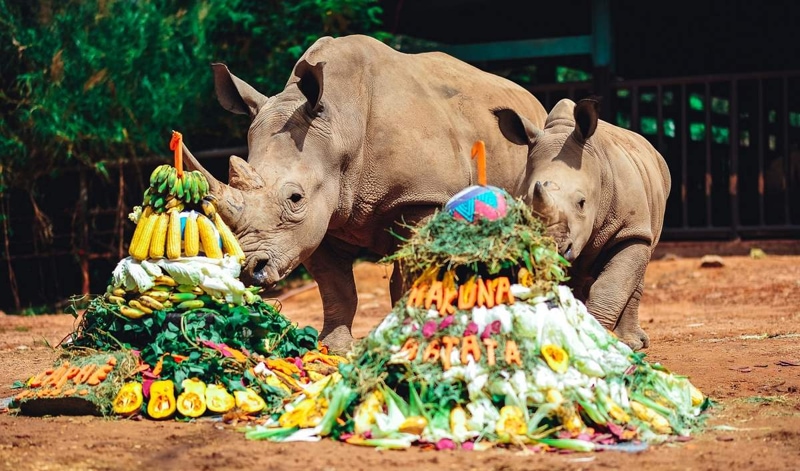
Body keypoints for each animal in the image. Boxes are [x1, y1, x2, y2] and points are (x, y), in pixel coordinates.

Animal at [182, 34, 548, 352]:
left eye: (295, 198)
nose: (248, 268)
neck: (340, 125)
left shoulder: (421, 197)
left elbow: (407, 274)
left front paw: (405, 334)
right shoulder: (320, 218)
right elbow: (336, 287)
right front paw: (333, 349)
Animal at [494, 98, 671, 350]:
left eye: (582, 203)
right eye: (526, 206)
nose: (554, 248)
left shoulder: (631, 228)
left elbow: (611, 285)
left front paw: (599, 339)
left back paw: (633, 343)